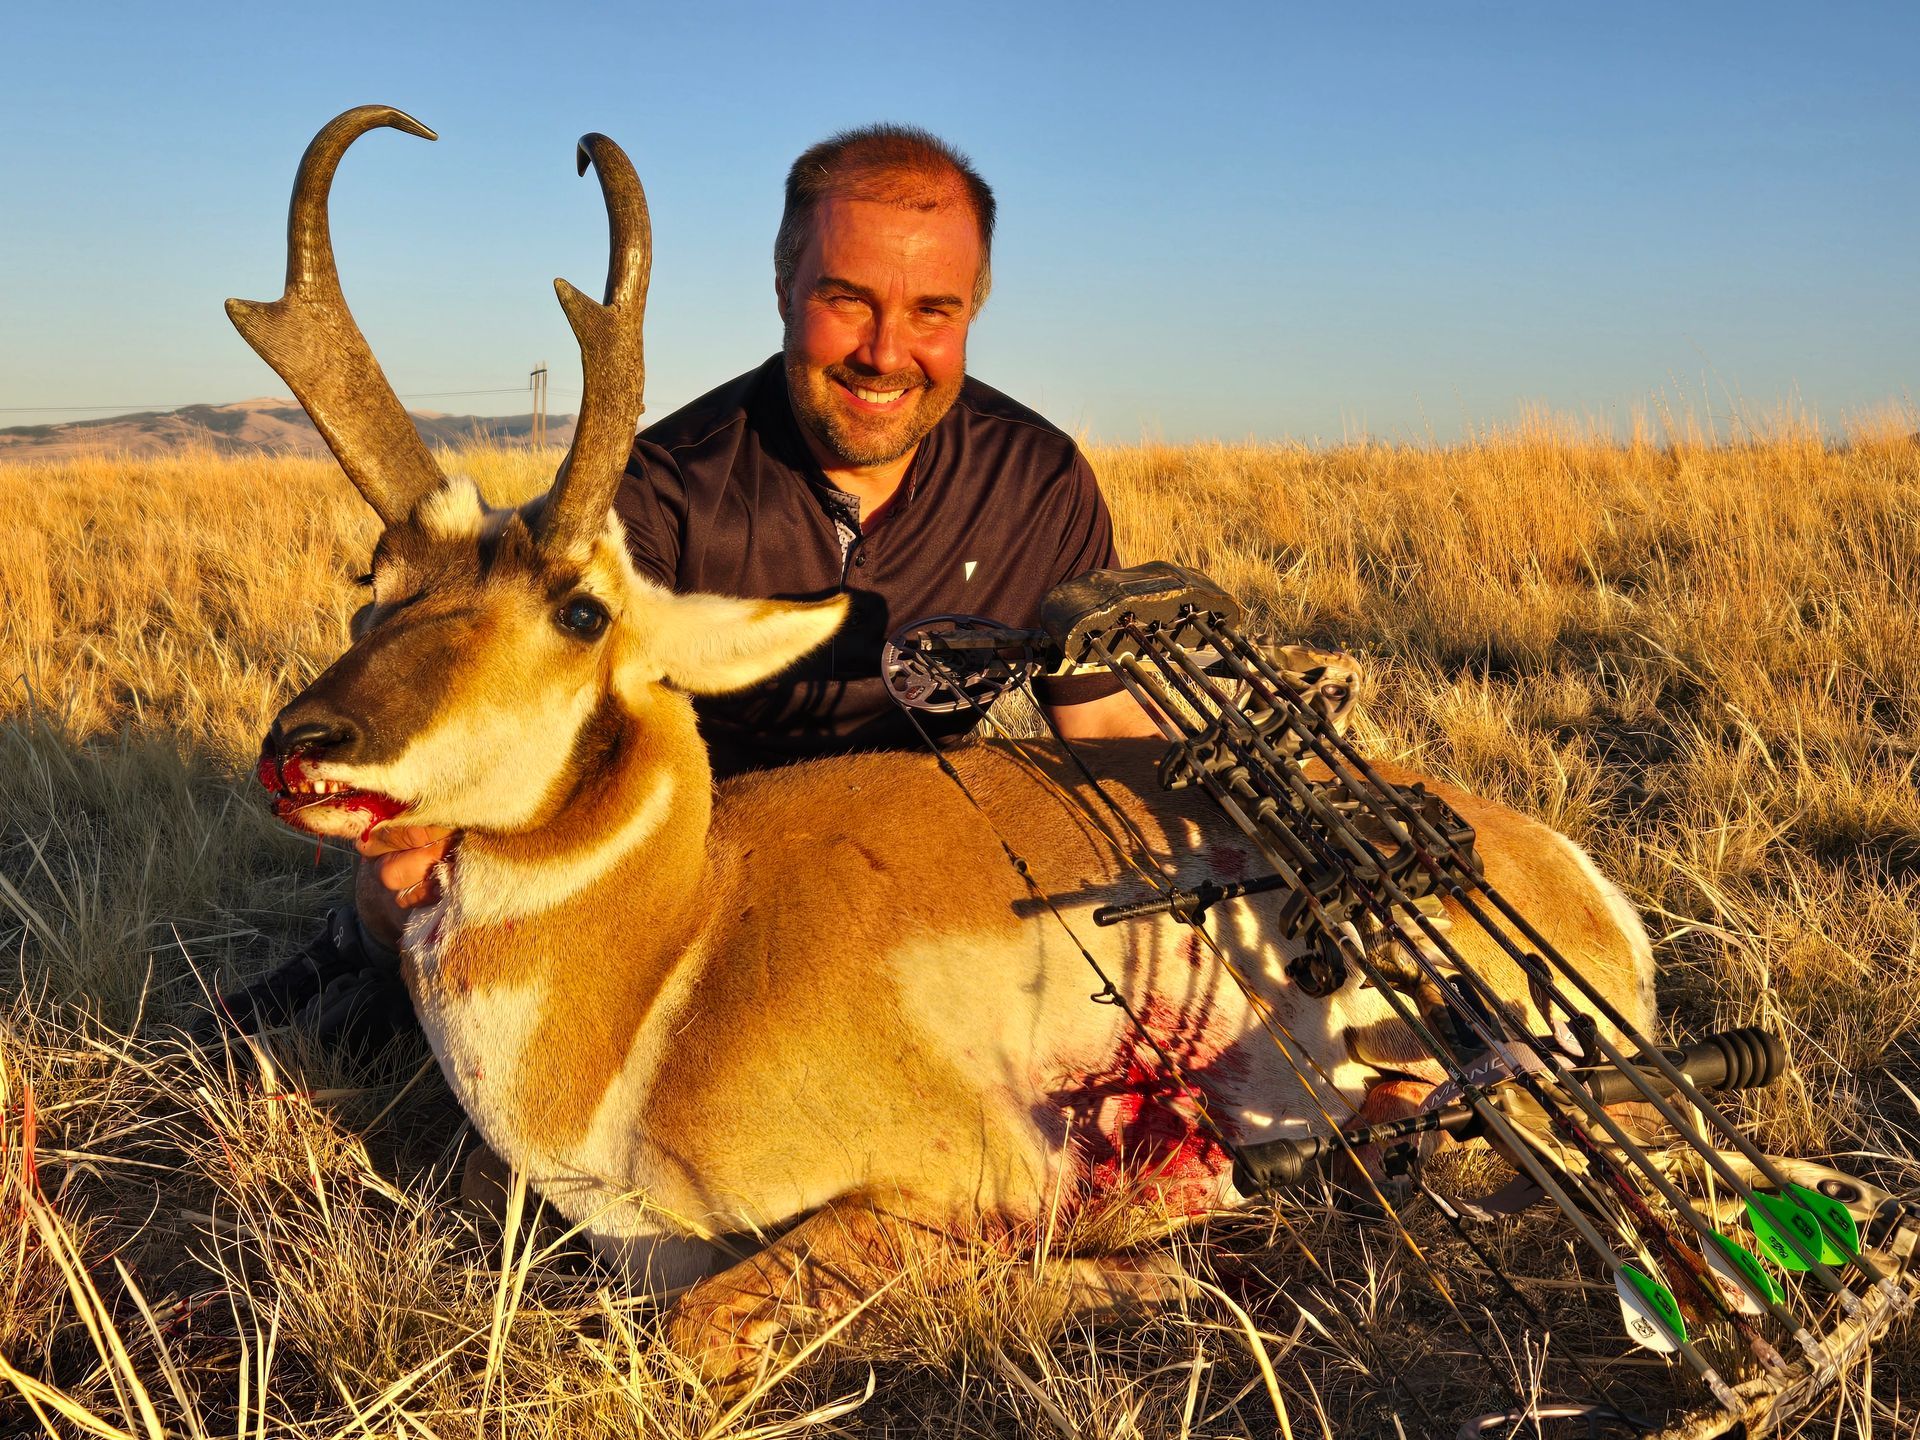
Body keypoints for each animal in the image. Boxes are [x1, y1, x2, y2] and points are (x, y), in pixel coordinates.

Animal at [235, 106, 1658, 1387]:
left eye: (582, 609)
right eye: (373, 583)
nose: (305, 747)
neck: (677, 955)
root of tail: (1560, 865)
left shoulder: (961, 1175)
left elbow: (721, 1317)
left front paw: (1141, 1264)